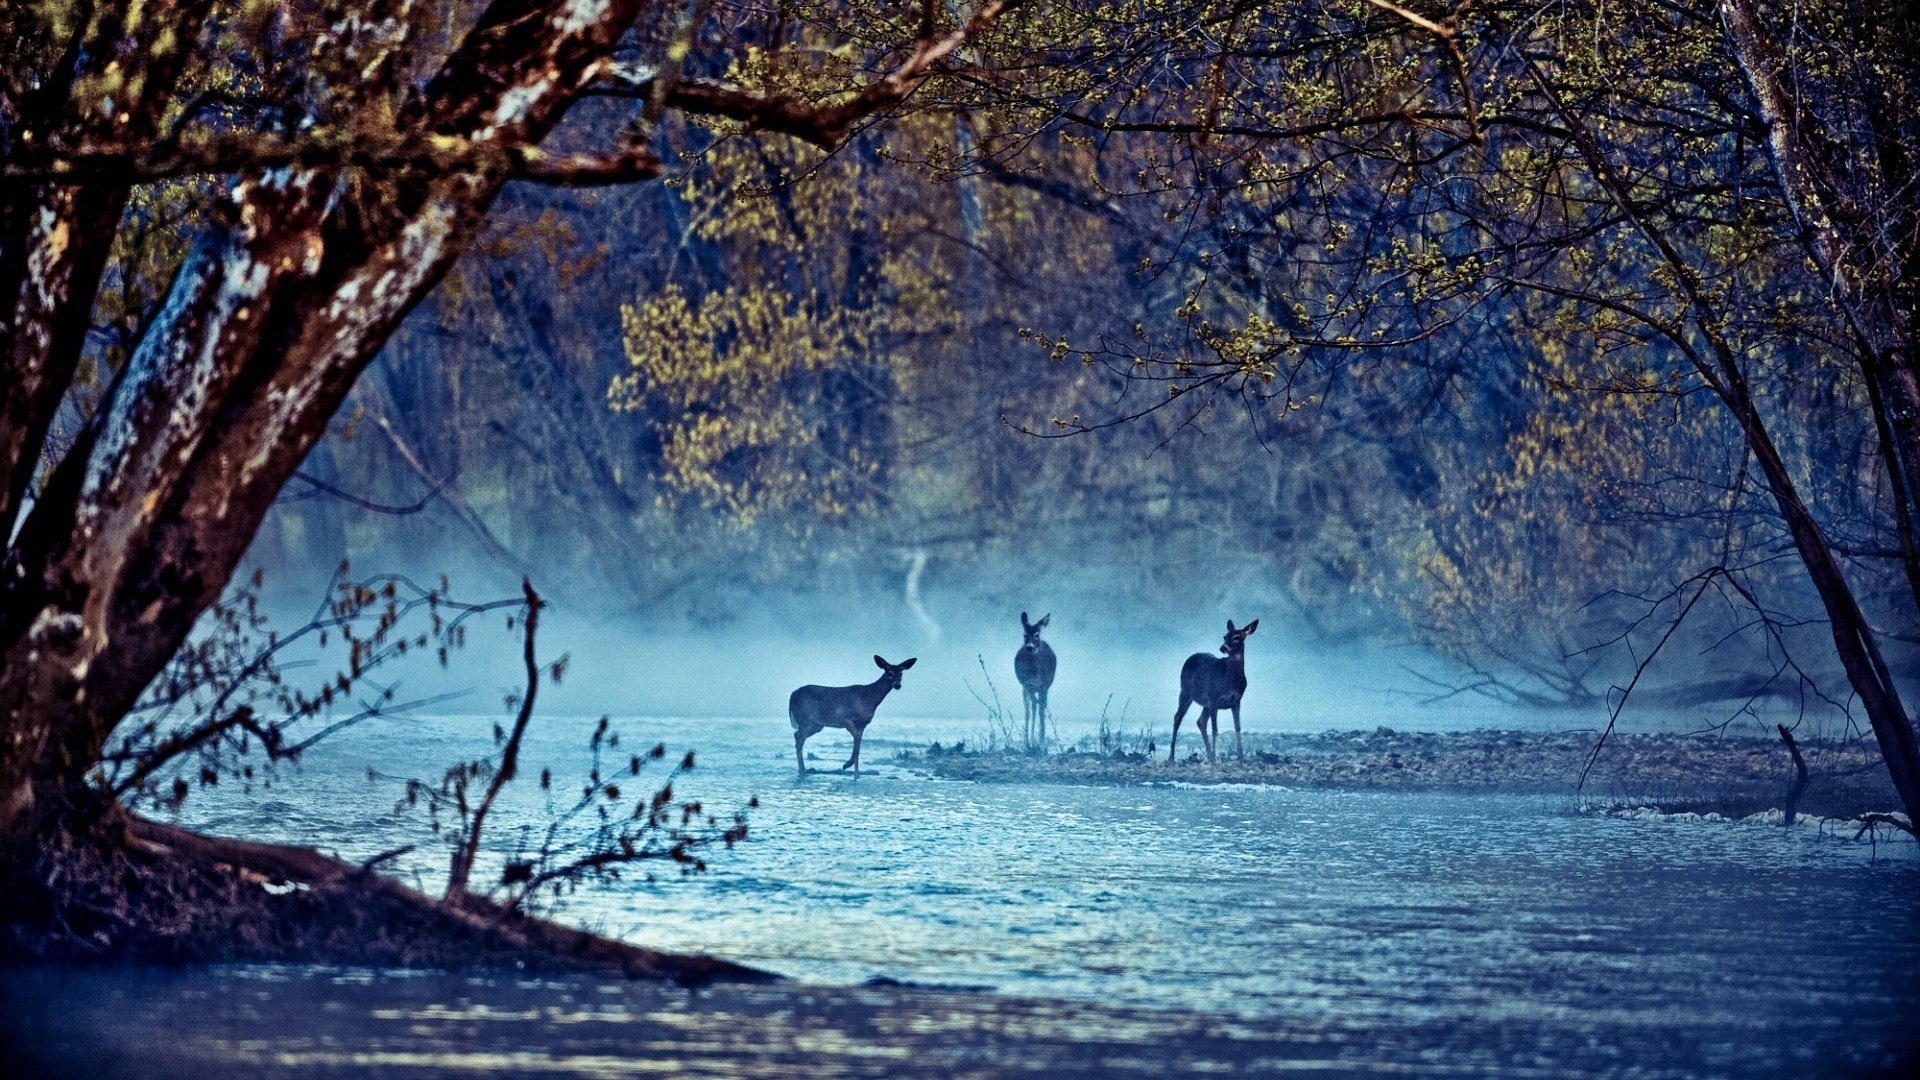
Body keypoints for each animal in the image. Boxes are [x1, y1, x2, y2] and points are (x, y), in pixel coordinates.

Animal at [1013, 611, 1059, 753]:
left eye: (1037, 635)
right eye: (1025, 635)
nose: (1029, 647)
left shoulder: (1044, 685)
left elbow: (1041, 710)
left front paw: (1041, 744)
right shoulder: (1027, 684)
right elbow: (1031, 710)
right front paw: (1029, 743)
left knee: (1039, 707)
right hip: (1026, 687)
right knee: (1030, 708)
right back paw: (1029, 743)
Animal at [1167, 618, 1259, 760]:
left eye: (1237, 637)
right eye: (1225, 636)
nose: (1222, 648)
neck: (1230, 680)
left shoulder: (1236, 701)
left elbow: (1237, 727)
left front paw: (1241, 758)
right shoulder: (1214, 699)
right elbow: (1215, 730)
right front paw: (1217, 759)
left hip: (1205, 702)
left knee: (1200, 721)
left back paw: (1209, 756)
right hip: (1186, 691)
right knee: (1177, 717)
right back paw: (1171, 757)